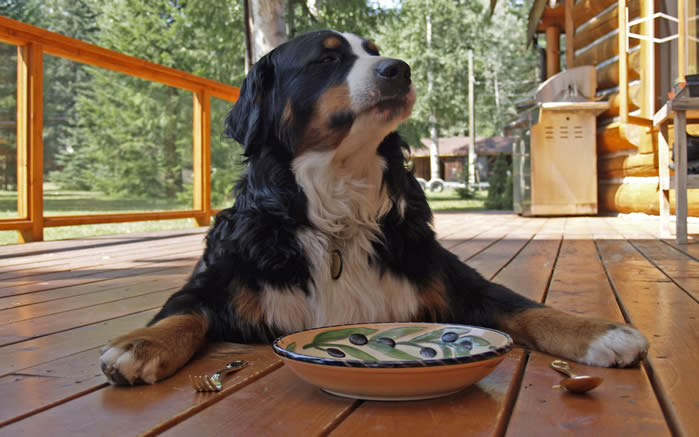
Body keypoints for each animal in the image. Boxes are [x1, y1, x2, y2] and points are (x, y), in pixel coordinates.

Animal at [100, 29, 652, 384]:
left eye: (375, 52)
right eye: (326, 60)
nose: (399, 69)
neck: (337, 210)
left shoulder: (452, 279)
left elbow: (524, 307)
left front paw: (598, 332)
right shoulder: (217, 280)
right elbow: (182, 314)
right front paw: (138, 344)